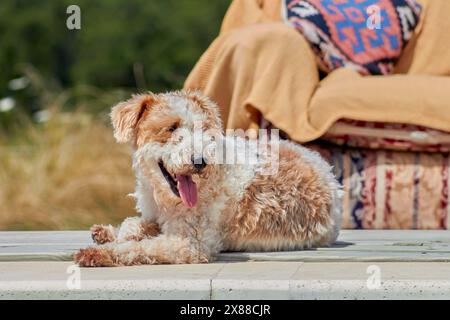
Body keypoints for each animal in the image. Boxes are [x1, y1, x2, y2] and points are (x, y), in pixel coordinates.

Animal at [74, 90, 342, 268]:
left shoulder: (191, 244)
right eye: (171, 128)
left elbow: (140, 246)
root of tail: (327, 172)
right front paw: (109, 232)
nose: (200, 161)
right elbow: (133, 225)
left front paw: (97, 253)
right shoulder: (155, 216)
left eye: (203, 130)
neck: (164, 198)